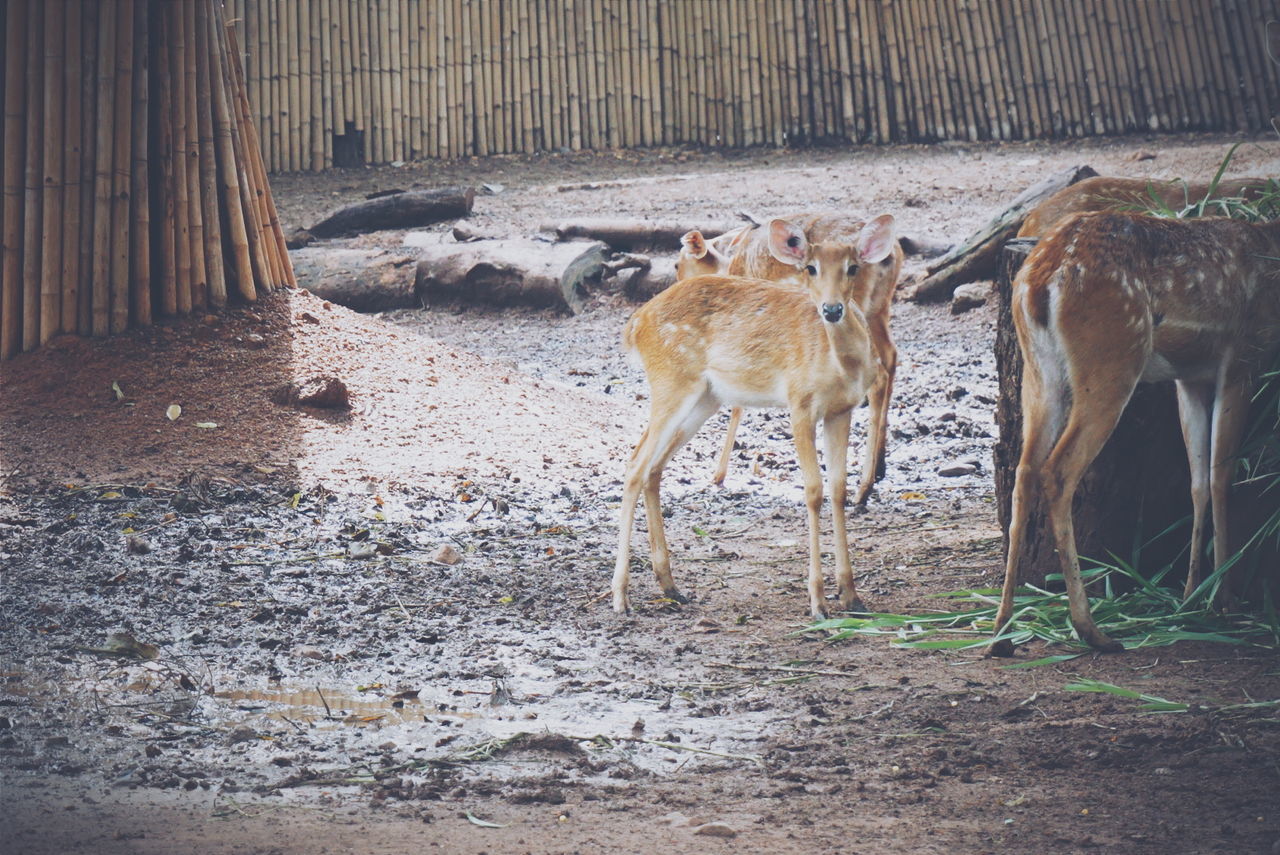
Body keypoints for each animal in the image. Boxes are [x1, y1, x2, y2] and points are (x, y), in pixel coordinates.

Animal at [675, 217, 906, 504]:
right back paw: (879, 467)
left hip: (858, 306)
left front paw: (718, 475)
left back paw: (863, 489)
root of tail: (892, 255)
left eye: (677, 264)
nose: (678, 289)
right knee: (892, 356)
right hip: (879, 308)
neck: (731, 261)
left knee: (878, 376)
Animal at [993, 208, 1280, 655]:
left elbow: (1198, 481)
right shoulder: (1242, 360)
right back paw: (1091, 629)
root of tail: (1043, 278)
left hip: (1038, 372)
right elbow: (1222, 478)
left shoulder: (1190, 379)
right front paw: (1224, 598)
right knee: (1058, 469)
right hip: (1111, 360)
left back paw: (1002, 633)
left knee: (1025, 470)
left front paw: (1191, 595)